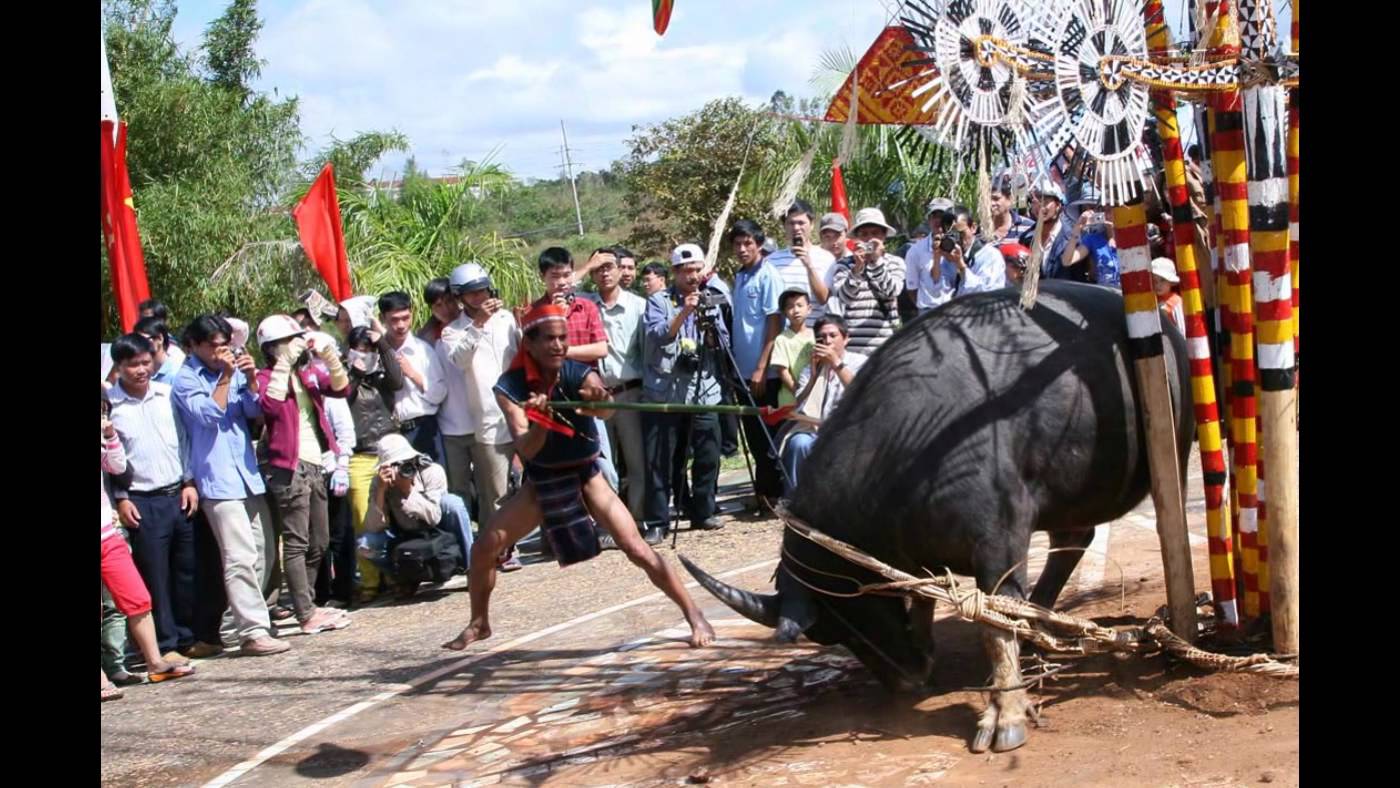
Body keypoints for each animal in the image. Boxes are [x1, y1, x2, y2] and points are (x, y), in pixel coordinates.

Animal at [683, 282, 1187, 750]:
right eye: (830, 631)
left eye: (841, 615)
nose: (905, 678)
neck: (903, 452)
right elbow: (924, 592)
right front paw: (928, 646)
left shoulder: (998, 541)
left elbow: (993, 624)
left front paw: (1004, 714)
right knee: (1074, 537)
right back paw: (1037, 621)